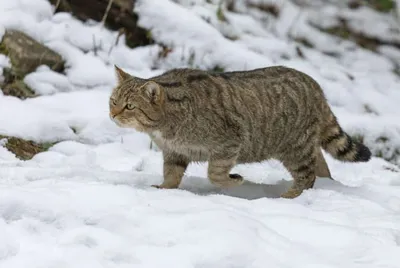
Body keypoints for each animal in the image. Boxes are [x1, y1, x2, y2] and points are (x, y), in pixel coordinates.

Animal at [110, 65, 372, 198]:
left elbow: (215, 174)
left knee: (307, 177)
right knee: (321, 166)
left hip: (295, 148)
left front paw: (234, 181)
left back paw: (289, 196)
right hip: (305, 145)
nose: (112, 115)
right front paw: (164, 191)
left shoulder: (229, 142)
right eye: (113, 100)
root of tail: (316, 87)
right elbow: (171, 175)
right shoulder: (175, 152)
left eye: (130, 106)